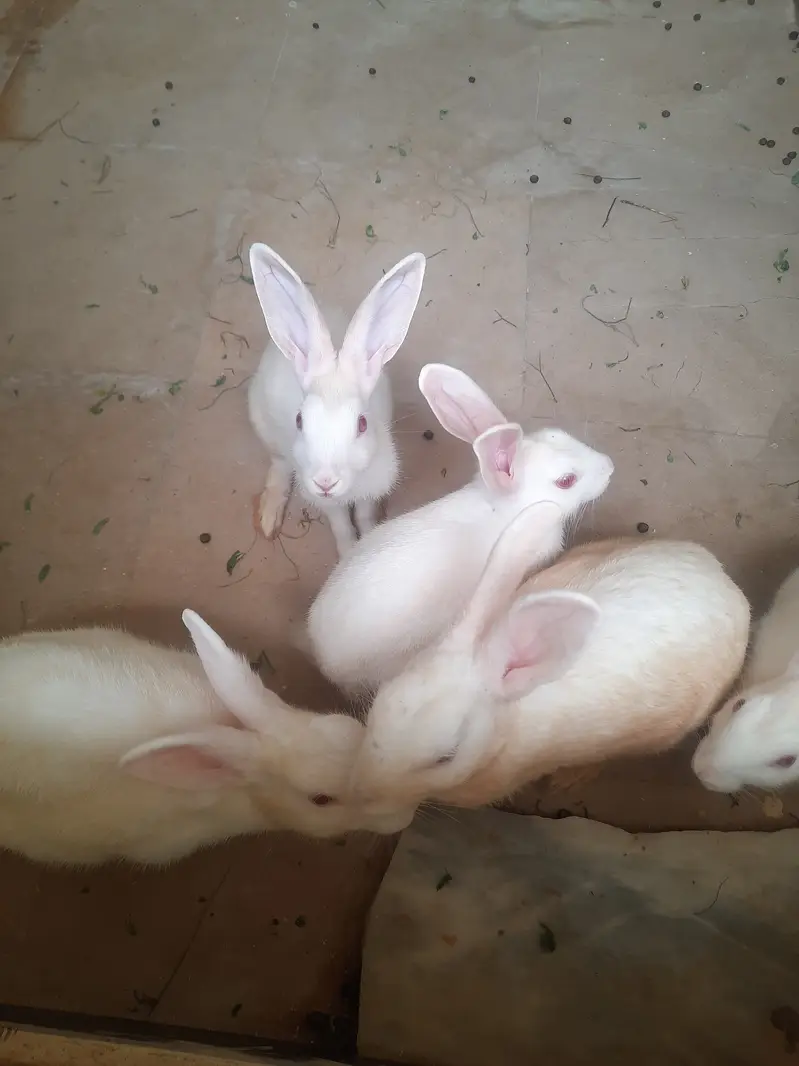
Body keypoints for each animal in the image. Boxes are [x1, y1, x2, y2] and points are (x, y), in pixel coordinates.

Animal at [247, 242, 426, 557]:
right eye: (299, 421)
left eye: (362, 424)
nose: (325, 481)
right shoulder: (327, 503)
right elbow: (341, 525)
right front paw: (348, 553)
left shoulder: (370, 489)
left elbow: (364, 516)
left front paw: (367, 543)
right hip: (265, 425)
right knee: (279, 465)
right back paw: (269, 519)